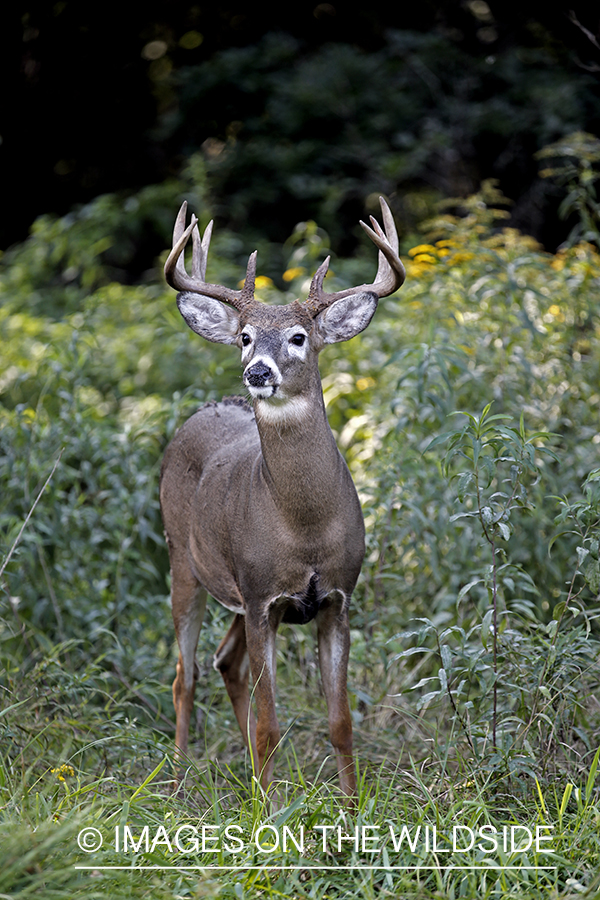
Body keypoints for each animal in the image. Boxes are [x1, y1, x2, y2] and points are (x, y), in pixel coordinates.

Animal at [159, 199, 406, 800]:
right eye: (246, 336)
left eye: (298, 337)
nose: (256, 372)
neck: (305, 527)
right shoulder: (262, 598)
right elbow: (270, 723)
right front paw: (268, 813)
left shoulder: (337, 596)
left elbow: (340, 721)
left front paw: (351, 807)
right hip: (183, 560)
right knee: (184, 674)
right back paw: (177, 783)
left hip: (234, 591)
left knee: (225, 664)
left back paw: (252, 776)